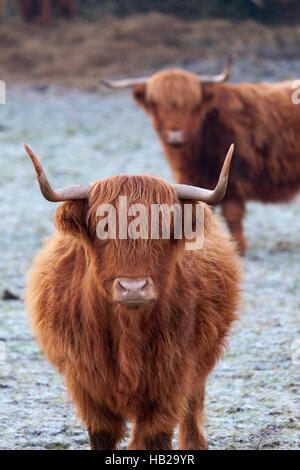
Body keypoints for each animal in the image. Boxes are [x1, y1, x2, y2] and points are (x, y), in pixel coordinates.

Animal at [25, 141, 241, 450]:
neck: (128, 328)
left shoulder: (173, 379)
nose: (133, 287)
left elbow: (154, 435)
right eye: (103, 227)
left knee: (192, 405)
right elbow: (102, 435)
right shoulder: (85, 384)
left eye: (163, 228)